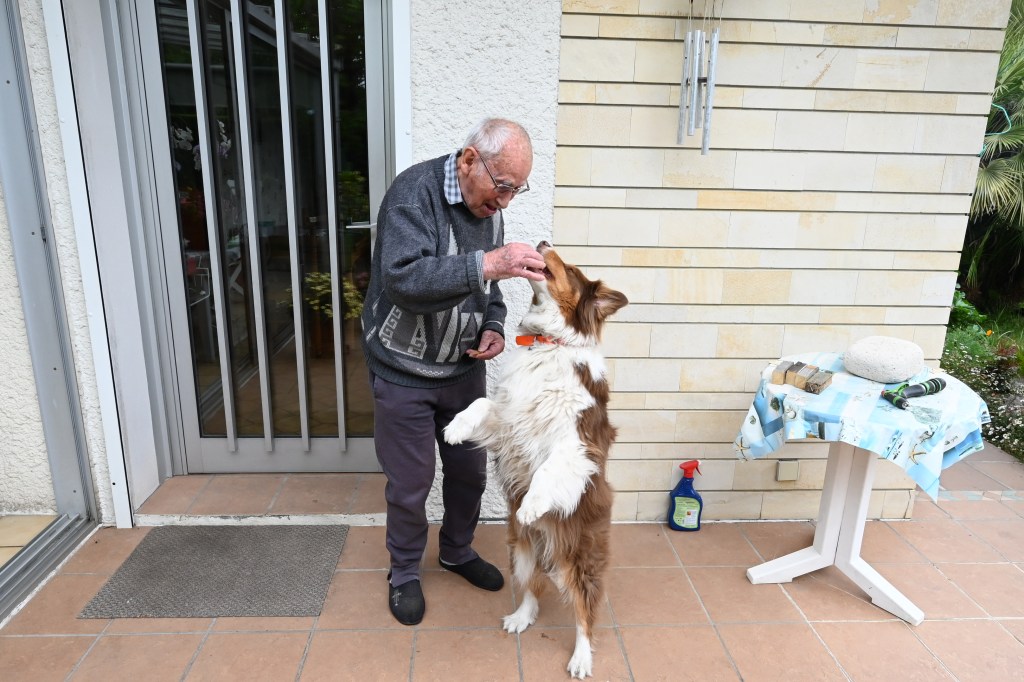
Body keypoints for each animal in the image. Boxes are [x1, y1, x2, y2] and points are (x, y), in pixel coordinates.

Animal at [444, 241, 628, 679]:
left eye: (572, 269)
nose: (542, 243)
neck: (548, 345)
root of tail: (549, 548)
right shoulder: (507, 420)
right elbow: (479, 404)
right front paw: (455, 428)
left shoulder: (578, 444)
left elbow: (549, 468)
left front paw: (531, 504)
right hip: (520, 550)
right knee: (532, 588)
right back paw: (520, 617)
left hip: (582, 557)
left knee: (584, 611)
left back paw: (581, 657)